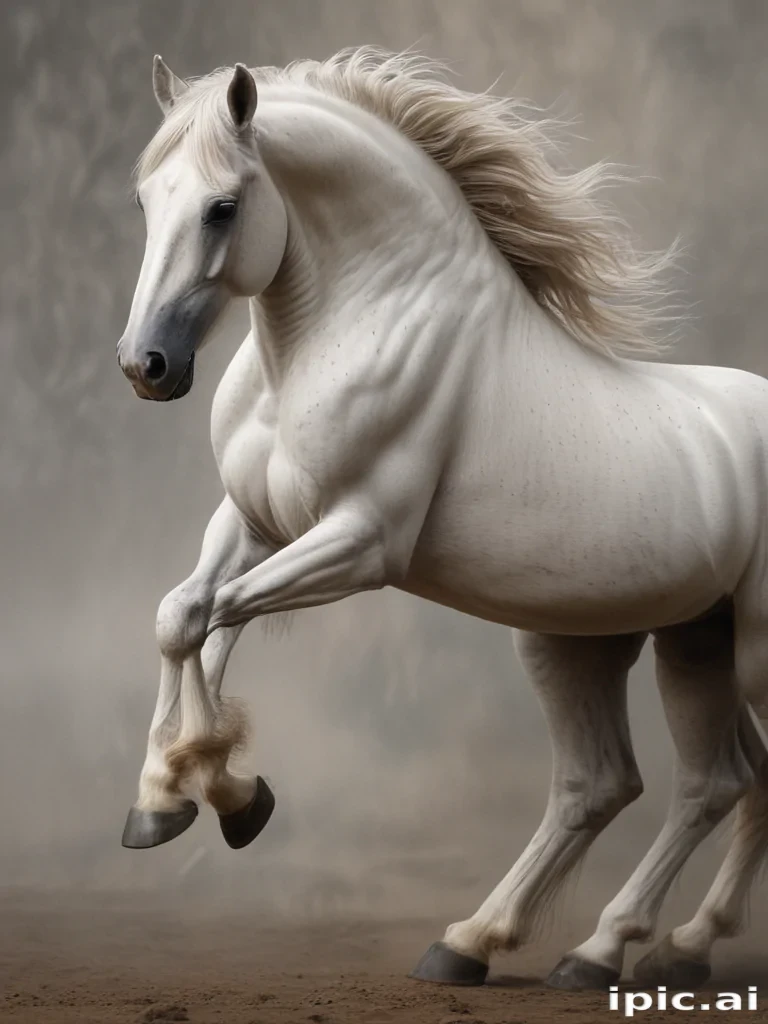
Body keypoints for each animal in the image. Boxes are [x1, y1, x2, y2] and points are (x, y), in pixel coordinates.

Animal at [116, 47, 768, 992]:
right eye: (144, 201)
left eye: (222, 207)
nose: (146, 366)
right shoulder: (251, 524)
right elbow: (184, 618)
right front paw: (164, 800)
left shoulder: (357, 544)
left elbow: (212, 615)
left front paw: (234, 798)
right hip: (644, 639)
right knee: (653, 782)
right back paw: (557, 945)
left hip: (747, 650)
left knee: (703, 781)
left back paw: (602, 946)